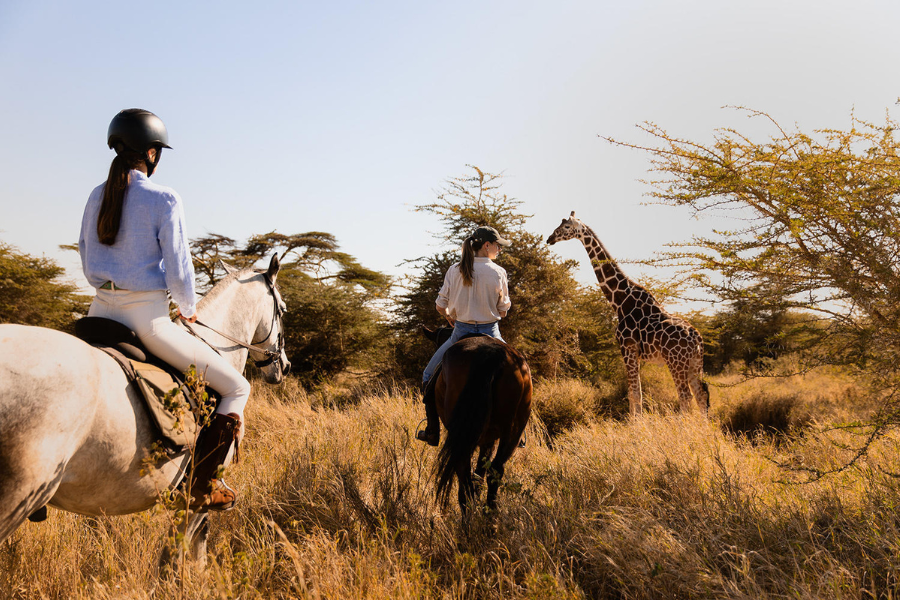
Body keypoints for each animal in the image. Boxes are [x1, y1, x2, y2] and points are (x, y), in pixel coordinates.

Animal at [547, 211, 709, 416]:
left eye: (567, 227)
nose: (549, 238)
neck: (620, 301)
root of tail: (697, 337)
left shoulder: (627, 347)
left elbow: (634, 394)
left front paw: (636, 423)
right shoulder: (634, 352)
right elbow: (635, 393)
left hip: (676, 361)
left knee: (685, 396)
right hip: (696, 363)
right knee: (701, 395)